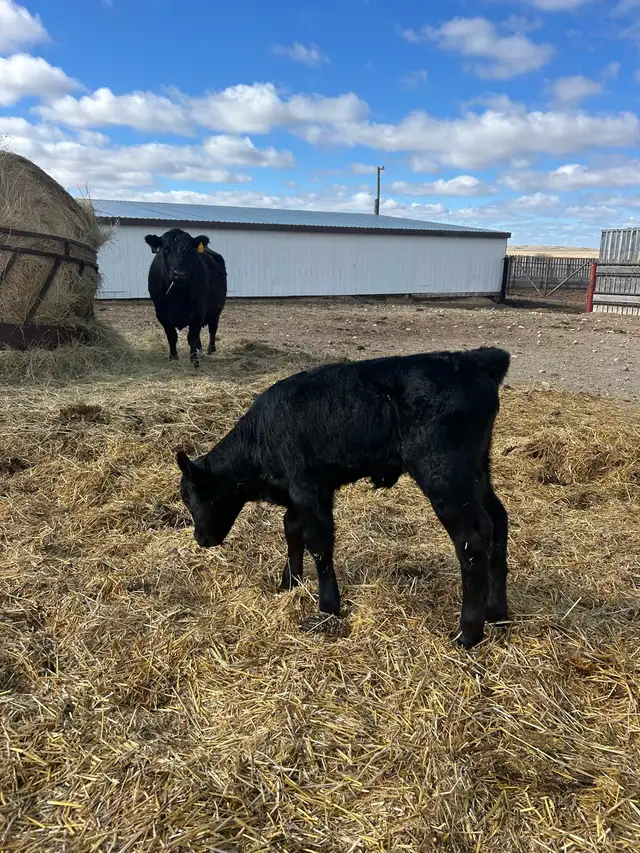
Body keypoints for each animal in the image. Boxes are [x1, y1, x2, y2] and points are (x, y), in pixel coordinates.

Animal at [144, 228, 227, 366]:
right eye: (165, 249)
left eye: (189, 251)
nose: (180, 274)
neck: (176, 294)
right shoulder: (162, 314)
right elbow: (172, 336)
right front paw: (173, 357)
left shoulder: (199, 312)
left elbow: (192, 337)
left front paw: (194, 361)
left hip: (216, 310)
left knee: (212, 329)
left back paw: (211, 350)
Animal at [175, 346, 511, 649]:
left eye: (191, 498)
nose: (200, 539)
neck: (260, 437)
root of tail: (473, 359)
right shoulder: (296, 497)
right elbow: (291, 532)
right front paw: (289, 583)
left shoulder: (309, 489)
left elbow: (319, 544)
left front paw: (327, 606)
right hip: (478, 473)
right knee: (498, 521)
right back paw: (497, 614)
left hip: (445, 478)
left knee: (472, 544)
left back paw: (468, 633)